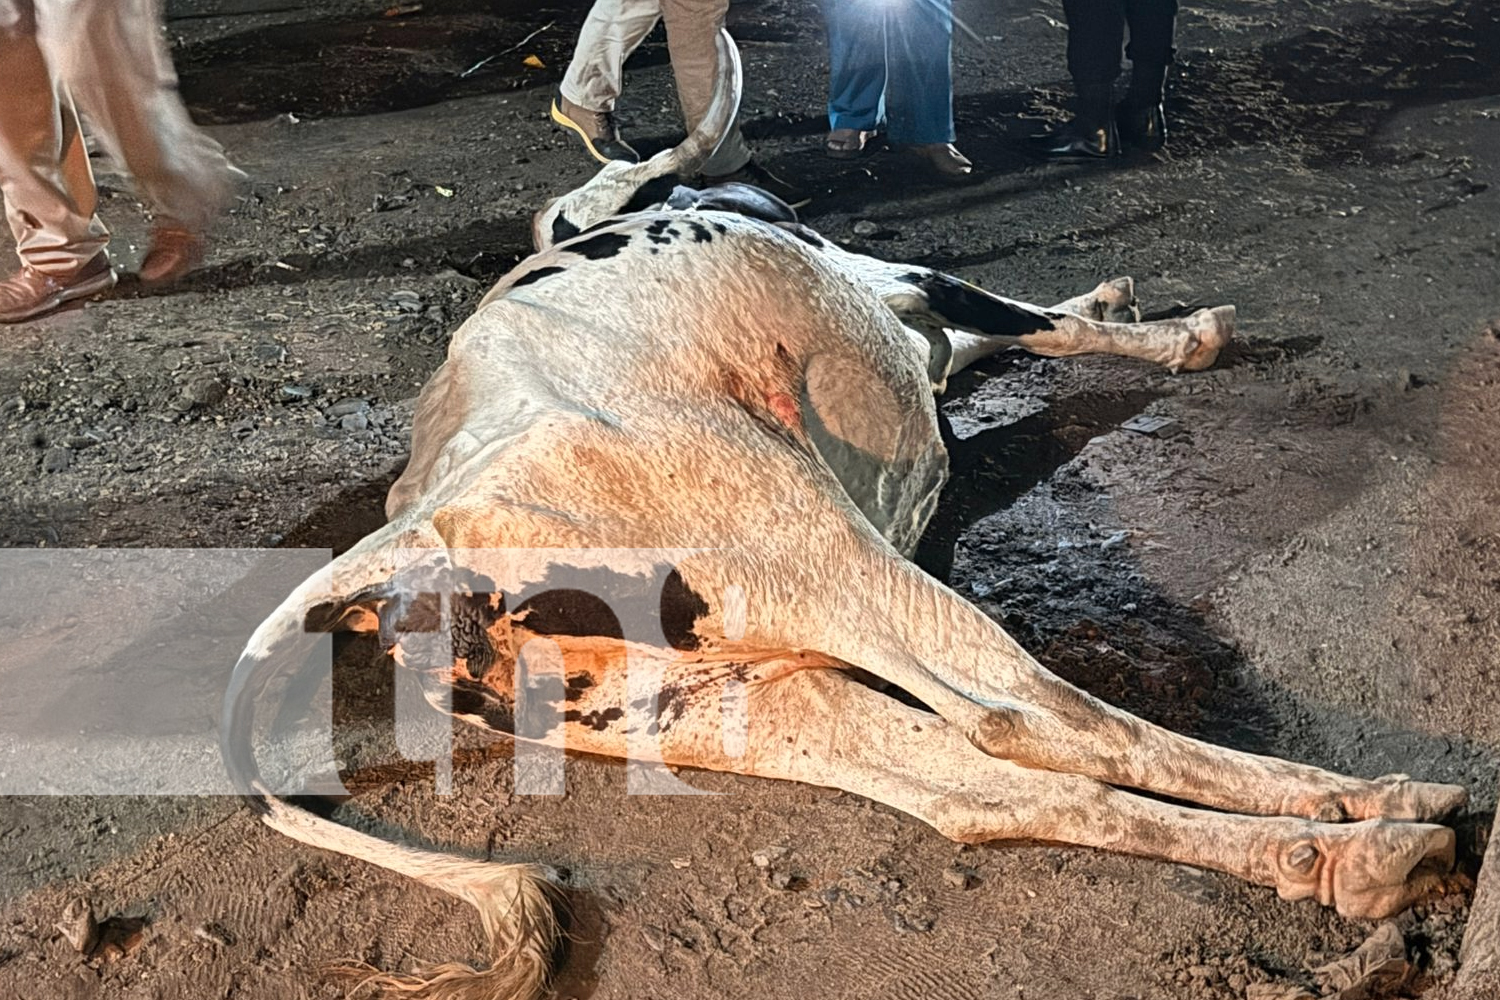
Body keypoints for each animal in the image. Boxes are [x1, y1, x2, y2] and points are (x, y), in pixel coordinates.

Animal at [222, 31, 1464, 1000]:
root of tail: (402, 540)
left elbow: (995, 336)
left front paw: (1111, 302)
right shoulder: (905, 283)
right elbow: (1028, 321)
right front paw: (1172, 332)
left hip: (720, 702)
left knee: (986, 792)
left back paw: (1350, 858)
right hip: (816, 549)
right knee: (1034, 718)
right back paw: (1384, 807)